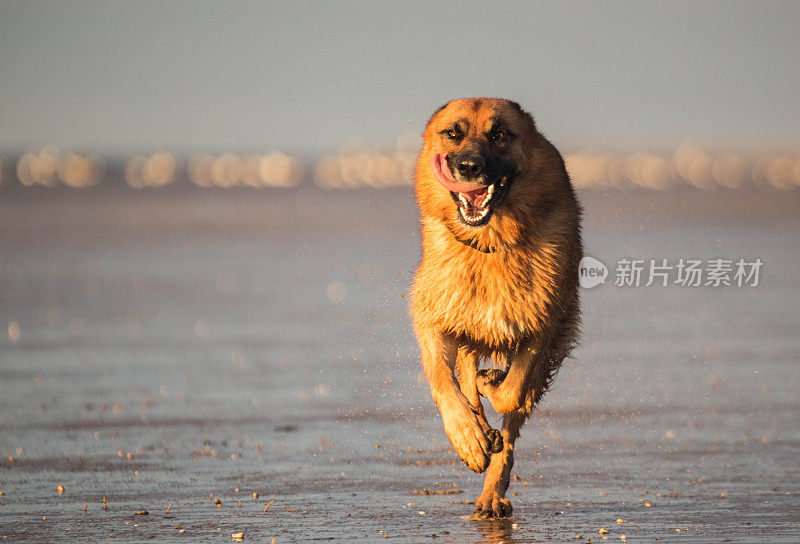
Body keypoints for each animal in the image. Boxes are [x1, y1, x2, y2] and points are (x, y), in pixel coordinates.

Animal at [412, 96, 580, 520]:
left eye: (500, 134)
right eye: (452, 133)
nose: (469, 167)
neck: (489, 243)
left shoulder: (539, 328)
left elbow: (511, 393)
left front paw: (493, 386)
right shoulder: (434, 318)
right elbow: (443, 379)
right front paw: (468, 437)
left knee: (511, 423)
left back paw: (491, 492)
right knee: (467, 376)